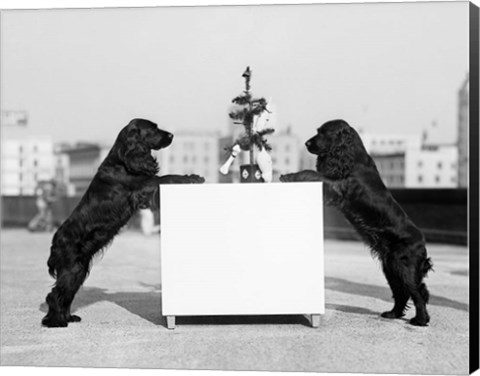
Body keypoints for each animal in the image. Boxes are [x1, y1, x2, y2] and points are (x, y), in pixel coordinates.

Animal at [41, 119, 204, 328]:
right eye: (153, 128)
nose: (171, 135)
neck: (122, 161)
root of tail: (55, 242)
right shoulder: (145, 185)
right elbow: (168, 177)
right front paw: (193, 177)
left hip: (79, 269)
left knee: (66, 293)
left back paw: (68, 317)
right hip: (72, 267)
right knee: (55, 295)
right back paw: (56, 322)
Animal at [280, 119, 434, 324]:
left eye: (323, 132)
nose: (306, 143)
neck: (351, 156)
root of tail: (422, 244)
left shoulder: (337, 186)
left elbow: (310, 172)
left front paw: (288, 176)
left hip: (403, 266)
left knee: (417, 292)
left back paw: (420, 320)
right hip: (390, 267)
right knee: (402, 292)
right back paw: (392, 314)